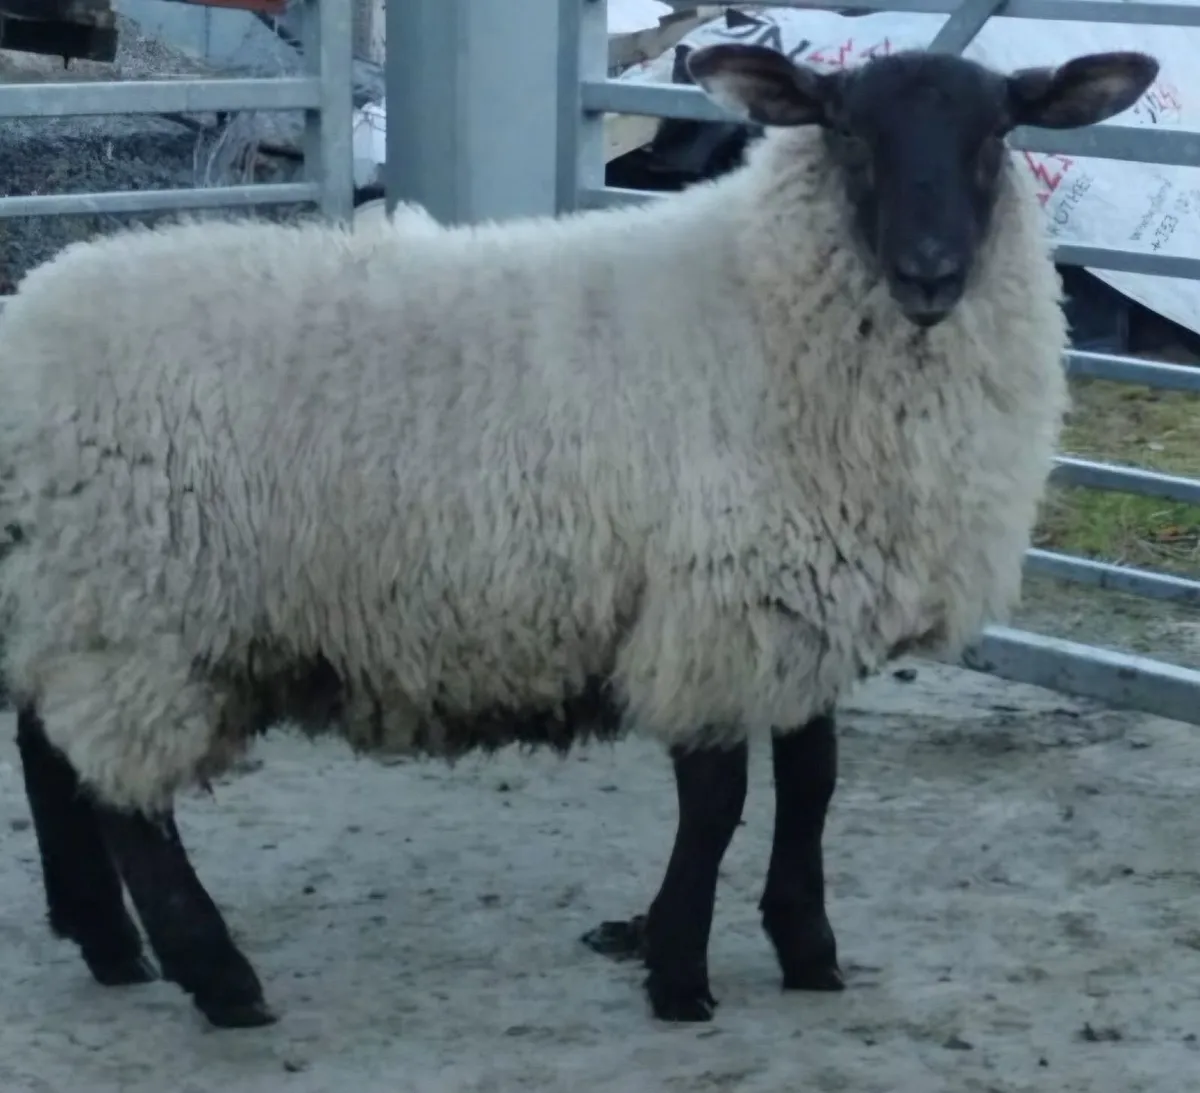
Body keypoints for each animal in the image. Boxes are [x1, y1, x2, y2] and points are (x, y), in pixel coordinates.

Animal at [0, 44, 1157, 1032]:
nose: (930, 272)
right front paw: (681, 971)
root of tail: (26, 319)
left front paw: (806, 948)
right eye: (848, 133)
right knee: (124, 798)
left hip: (66, 596)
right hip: (134, 612)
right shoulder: (713, 602)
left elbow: (813, 782)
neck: (766, 304)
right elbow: (720, 800)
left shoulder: (801, 596)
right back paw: (218, 975)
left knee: (45, 749)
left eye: (996, 134)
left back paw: (107, 943)